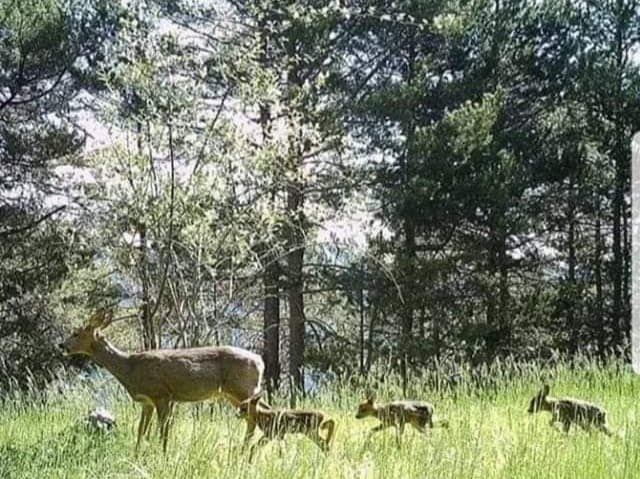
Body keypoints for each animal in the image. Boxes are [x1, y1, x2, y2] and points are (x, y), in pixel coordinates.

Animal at [57, 312, 262, 454]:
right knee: (254, 417)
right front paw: (136, 456)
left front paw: (162, 455)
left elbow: (163, 431)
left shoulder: (162, 395)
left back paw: (243, 451)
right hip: (236, 394)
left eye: (76, 333)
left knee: (253, 418)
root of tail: (260, 360)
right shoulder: (146, 401)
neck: (129, 368)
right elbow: (141, 431)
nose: (61, 345)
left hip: (242, 390)